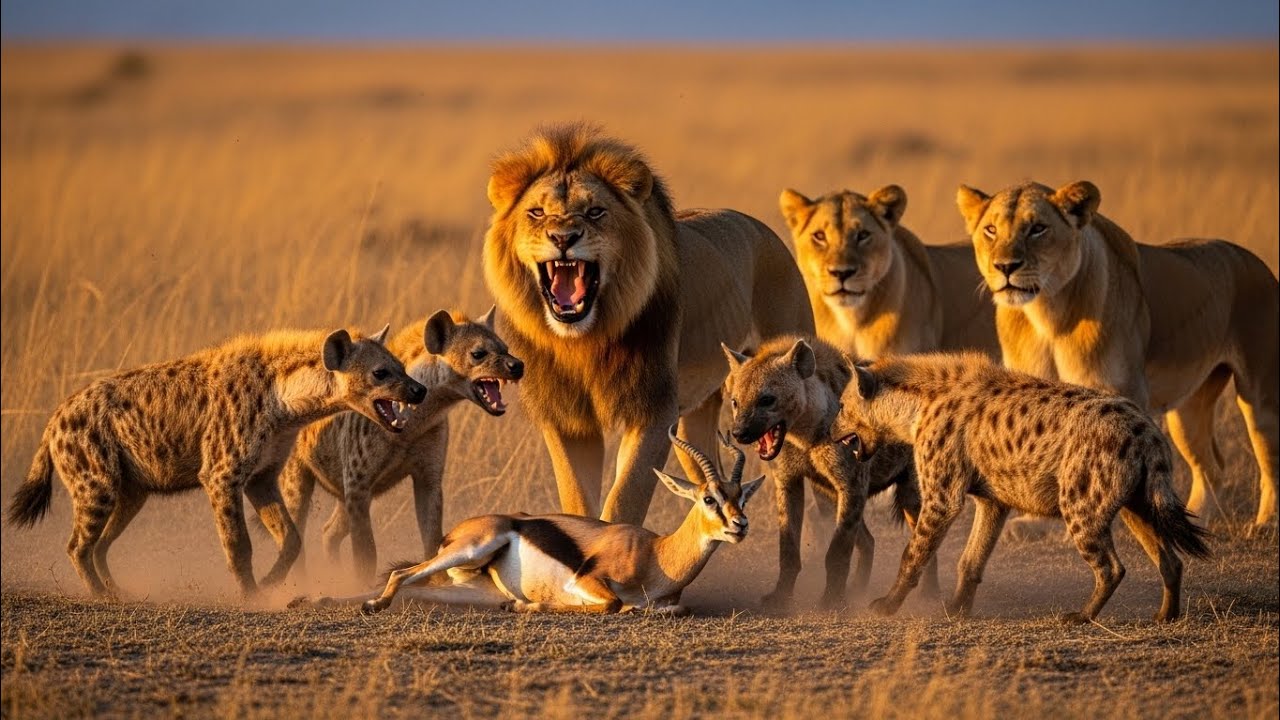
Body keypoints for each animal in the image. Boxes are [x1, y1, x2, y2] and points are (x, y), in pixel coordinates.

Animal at [483, 123, 814, 523]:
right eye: (535, 212)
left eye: (595, 211)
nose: (563, 237)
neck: (585, 341)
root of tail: (763, 230)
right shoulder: (567, 420)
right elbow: (577, 502)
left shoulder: (653, 410)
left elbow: (624, 499)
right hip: (696, 419)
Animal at [957, 180, 1279, 527]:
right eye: (991, 230)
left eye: (1038, 228)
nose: (1005, 266)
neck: (1046, 314)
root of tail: (1256, 261)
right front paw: (1034, 522)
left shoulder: (1121, 393)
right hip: (1189, 409)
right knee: (1212, 468)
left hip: (1261, 398)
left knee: (1269, 460)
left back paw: (1263, 525)